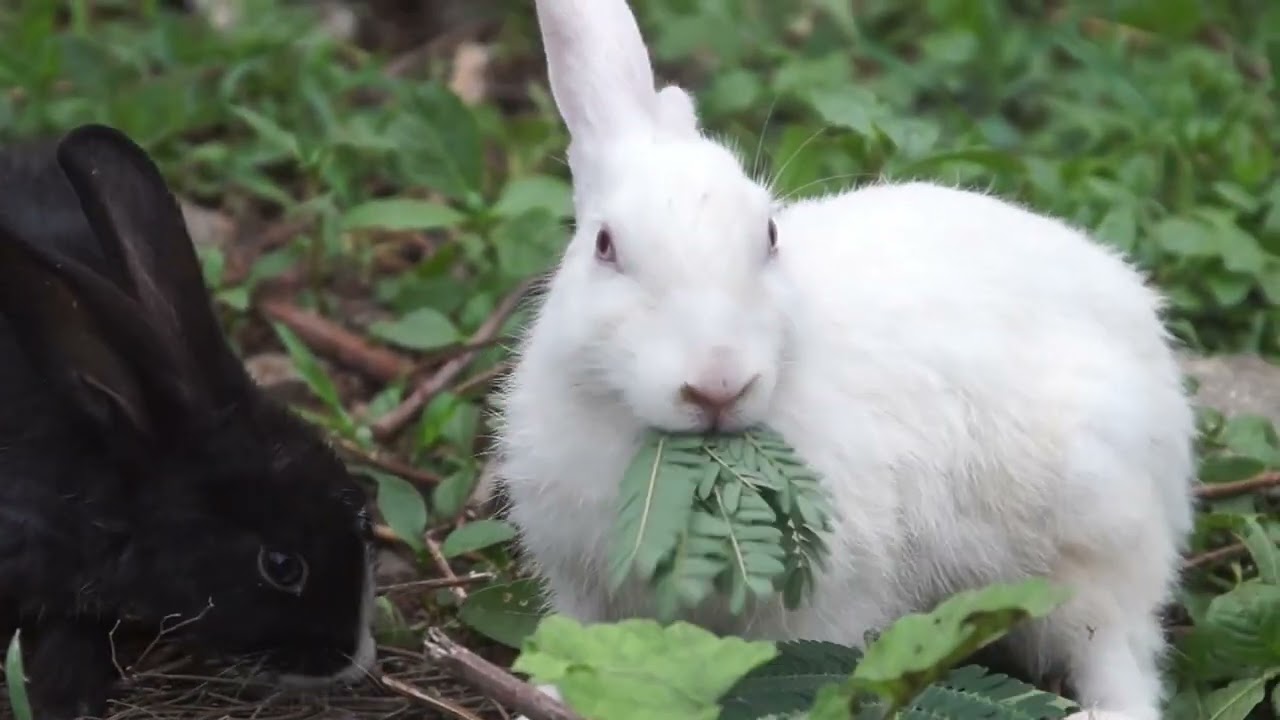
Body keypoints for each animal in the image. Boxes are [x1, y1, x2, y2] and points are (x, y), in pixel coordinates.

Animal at [492, 2, 1199, 720]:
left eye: (769, 235)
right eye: (605, 245)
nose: (718, 384)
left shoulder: (828, 594)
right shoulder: (581, 581)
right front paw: (547, 693)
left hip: (1092, 539)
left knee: (1119, 653)